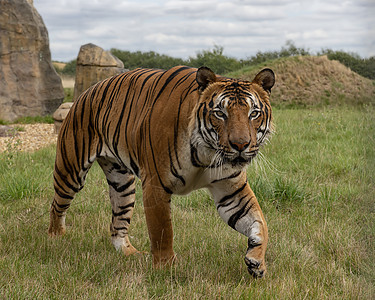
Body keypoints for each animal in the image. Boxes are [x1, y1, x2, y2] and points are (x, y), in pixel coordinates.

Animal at [48, 65, 274, 278]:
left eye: (253, 113)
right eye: (220, 113)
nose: (240, 145)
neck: (206, 153)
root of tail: (87, 91)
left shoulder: (231, 191)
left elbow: (260, 222)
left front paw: (257, 261)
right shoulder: (156, 184)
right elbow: (163, 229)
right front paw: (166, 268)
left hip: (122, 184)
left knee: (117, 224)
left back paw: (130, 253)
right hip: (71, 172)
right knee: (57, 205)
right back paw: (56, 238)